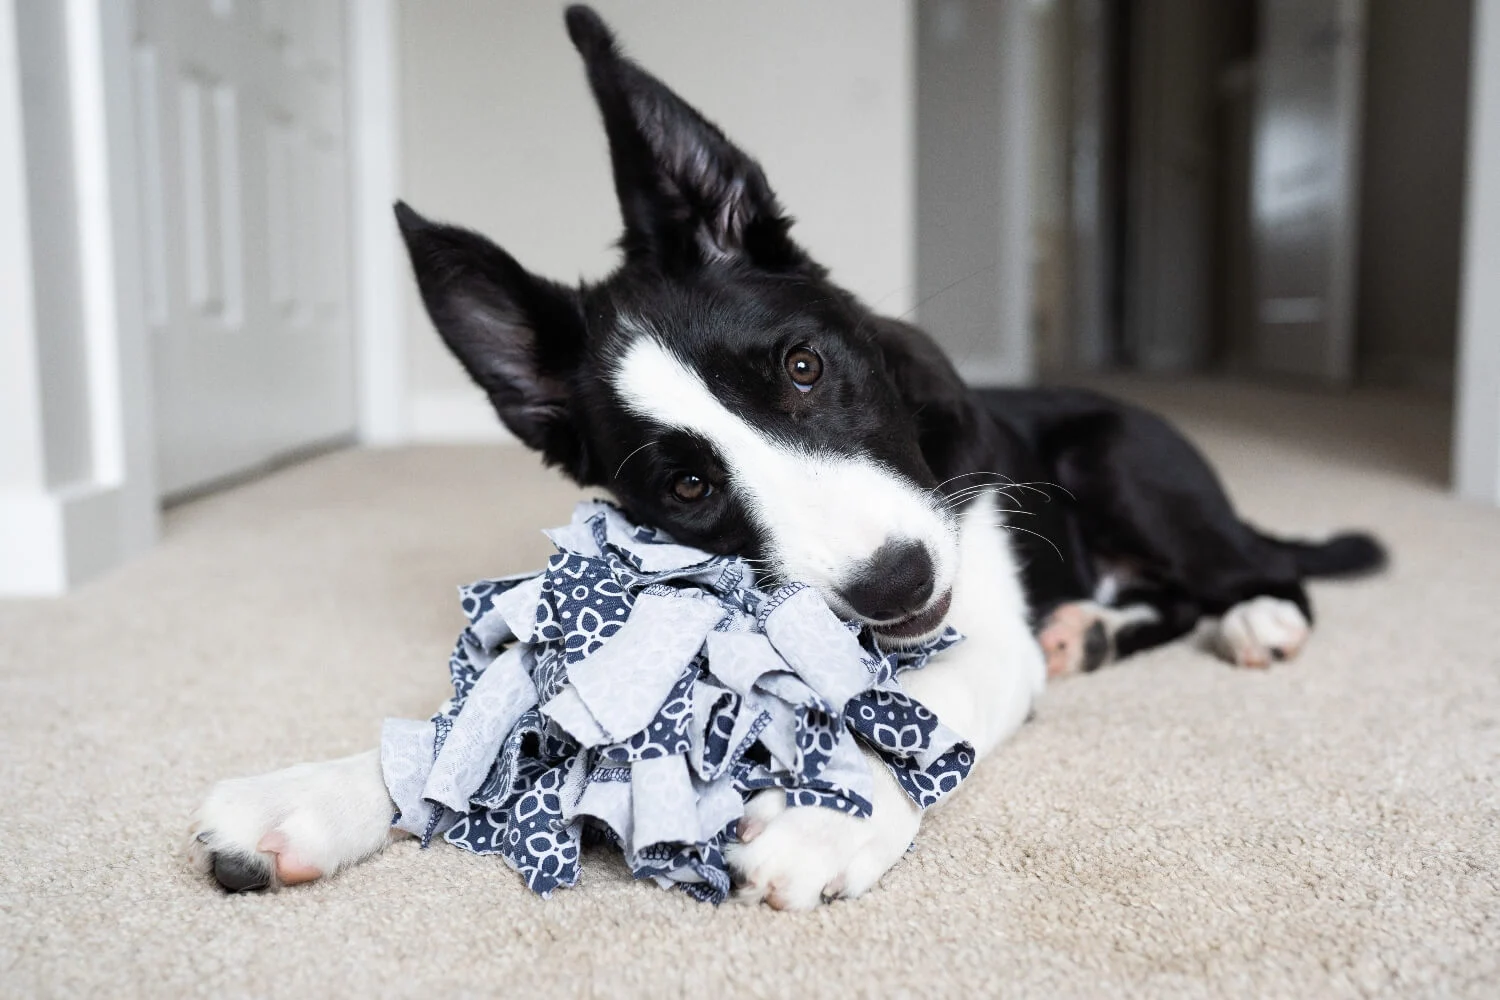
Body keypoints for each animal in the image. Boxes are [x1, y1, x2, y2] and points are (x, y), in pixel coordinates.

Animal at [190, 7, 1380, 911]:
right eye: (687, 485)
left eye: (804, 367)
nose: (895, 584)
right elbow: (479, 721)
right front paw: (314, 794)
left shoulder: (978, 628)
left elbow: (925, 706)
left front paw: (827, 813)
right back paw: (1091, 629)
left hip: (1124, 461)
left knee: (1257, 570)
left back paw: (1251, 618)